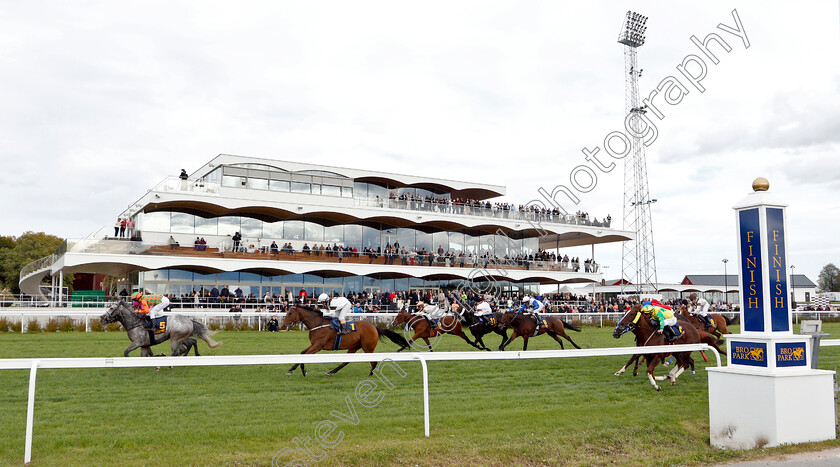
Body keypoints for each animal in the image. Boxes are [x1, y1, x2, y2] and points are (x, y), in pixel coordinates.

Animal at [282, 308, 410, 376]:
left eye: (290, 313)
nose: (283, 326)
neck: (318, 324)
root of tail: (374, 327)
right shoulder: (314, 344)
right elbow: (302, 353)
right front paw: (290, 370)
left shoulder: (318, 346)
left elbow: (305, 355)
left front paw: (303, 371)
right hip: (354, 346)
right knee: (346, 361)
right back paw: (331, 371)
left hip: (368, 348)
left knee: (373, 361)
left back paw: (371, 374)